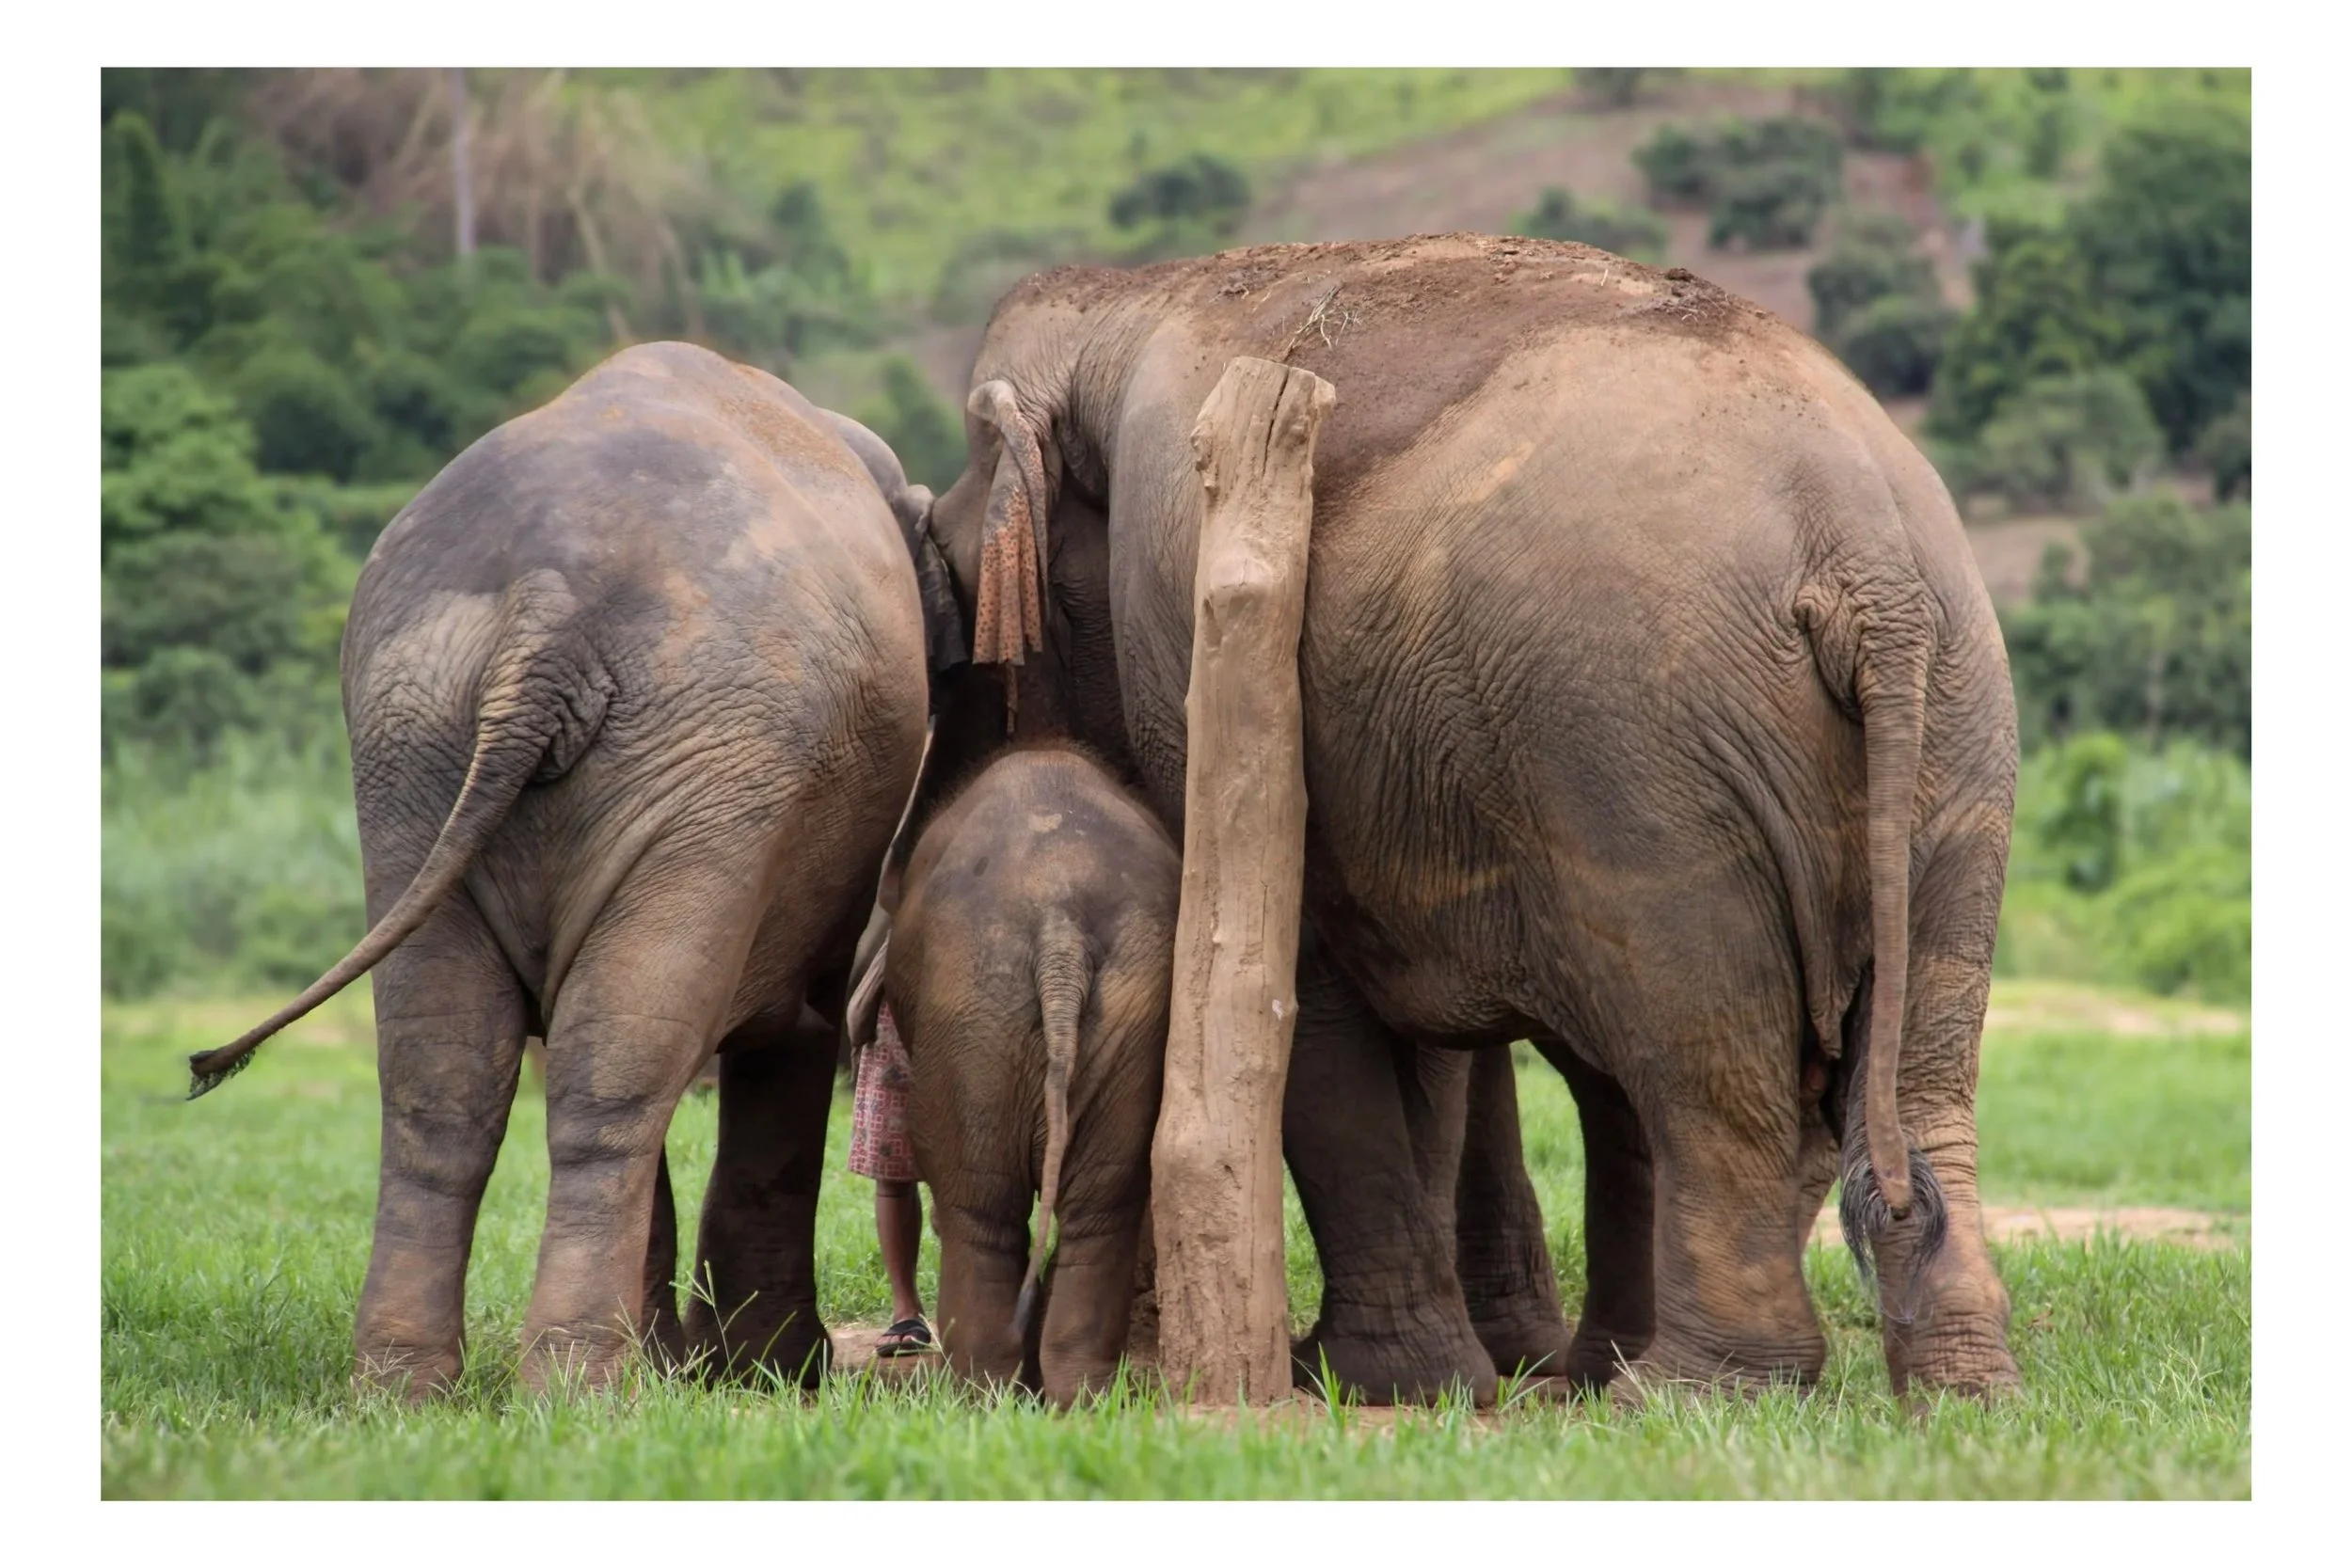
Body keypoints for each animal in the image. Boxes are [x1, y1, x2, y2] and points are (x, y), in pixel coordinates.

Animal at [188, 341, 966, 1397]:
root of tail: (546, 613)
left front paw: (714, 1369)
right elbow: (789, 1031)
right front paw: (765, 1374)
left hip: (423, 753)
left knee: (460, 1078)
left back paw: (417, 1388)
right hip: (686, 760)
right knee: (608, 1071)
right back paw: (579, 1387)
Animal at [877, 741, 1180, 1407]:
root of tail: (1058, 920)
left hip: (972, 1006)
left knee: (980, 1207)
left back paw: (976, 1398)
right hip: (1125, 1009)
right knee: (1102, 1205)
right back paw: (1077, 1398)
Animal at [912, 234, 2022, 1405]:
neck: (1132, 299)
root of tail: (1866, 565)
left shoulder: (1180, 604)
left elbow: (1309, 983)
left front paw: (1371, 1378)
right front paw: (1449, 1376)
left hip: (1640, 758)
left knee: (1701, 1060)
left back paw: (1678, 1390)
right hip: (1954, 734)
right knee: (1912, 1059)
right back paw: (1948, 1383)